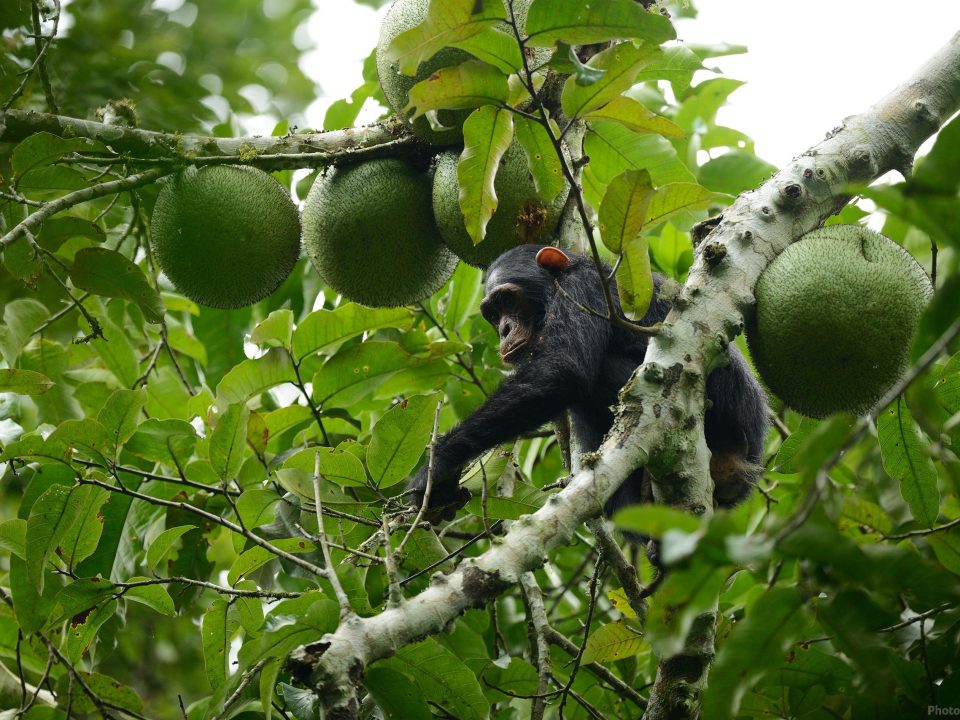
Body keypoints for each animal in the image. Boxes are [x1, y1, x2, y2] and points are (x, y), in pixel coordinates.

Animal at [408, 245, 768, 520]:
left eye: (507, 301)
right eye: (493, 315)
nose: (504, 330)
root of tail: (743, 464)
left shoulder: (583, 288)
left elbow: (560, 370)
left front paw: (438, 465)